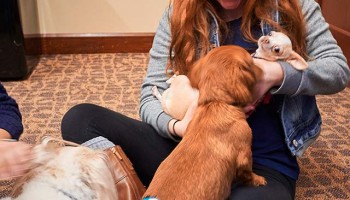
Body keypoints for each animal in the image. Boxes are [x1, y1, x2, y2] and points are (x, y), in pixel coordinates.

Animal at [144, 45, 266, 200]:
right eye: (251, 62)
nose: (264, 70)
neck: (215, 102)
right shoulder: (245, 155)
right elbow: (248, 173)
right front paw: (258, 180)